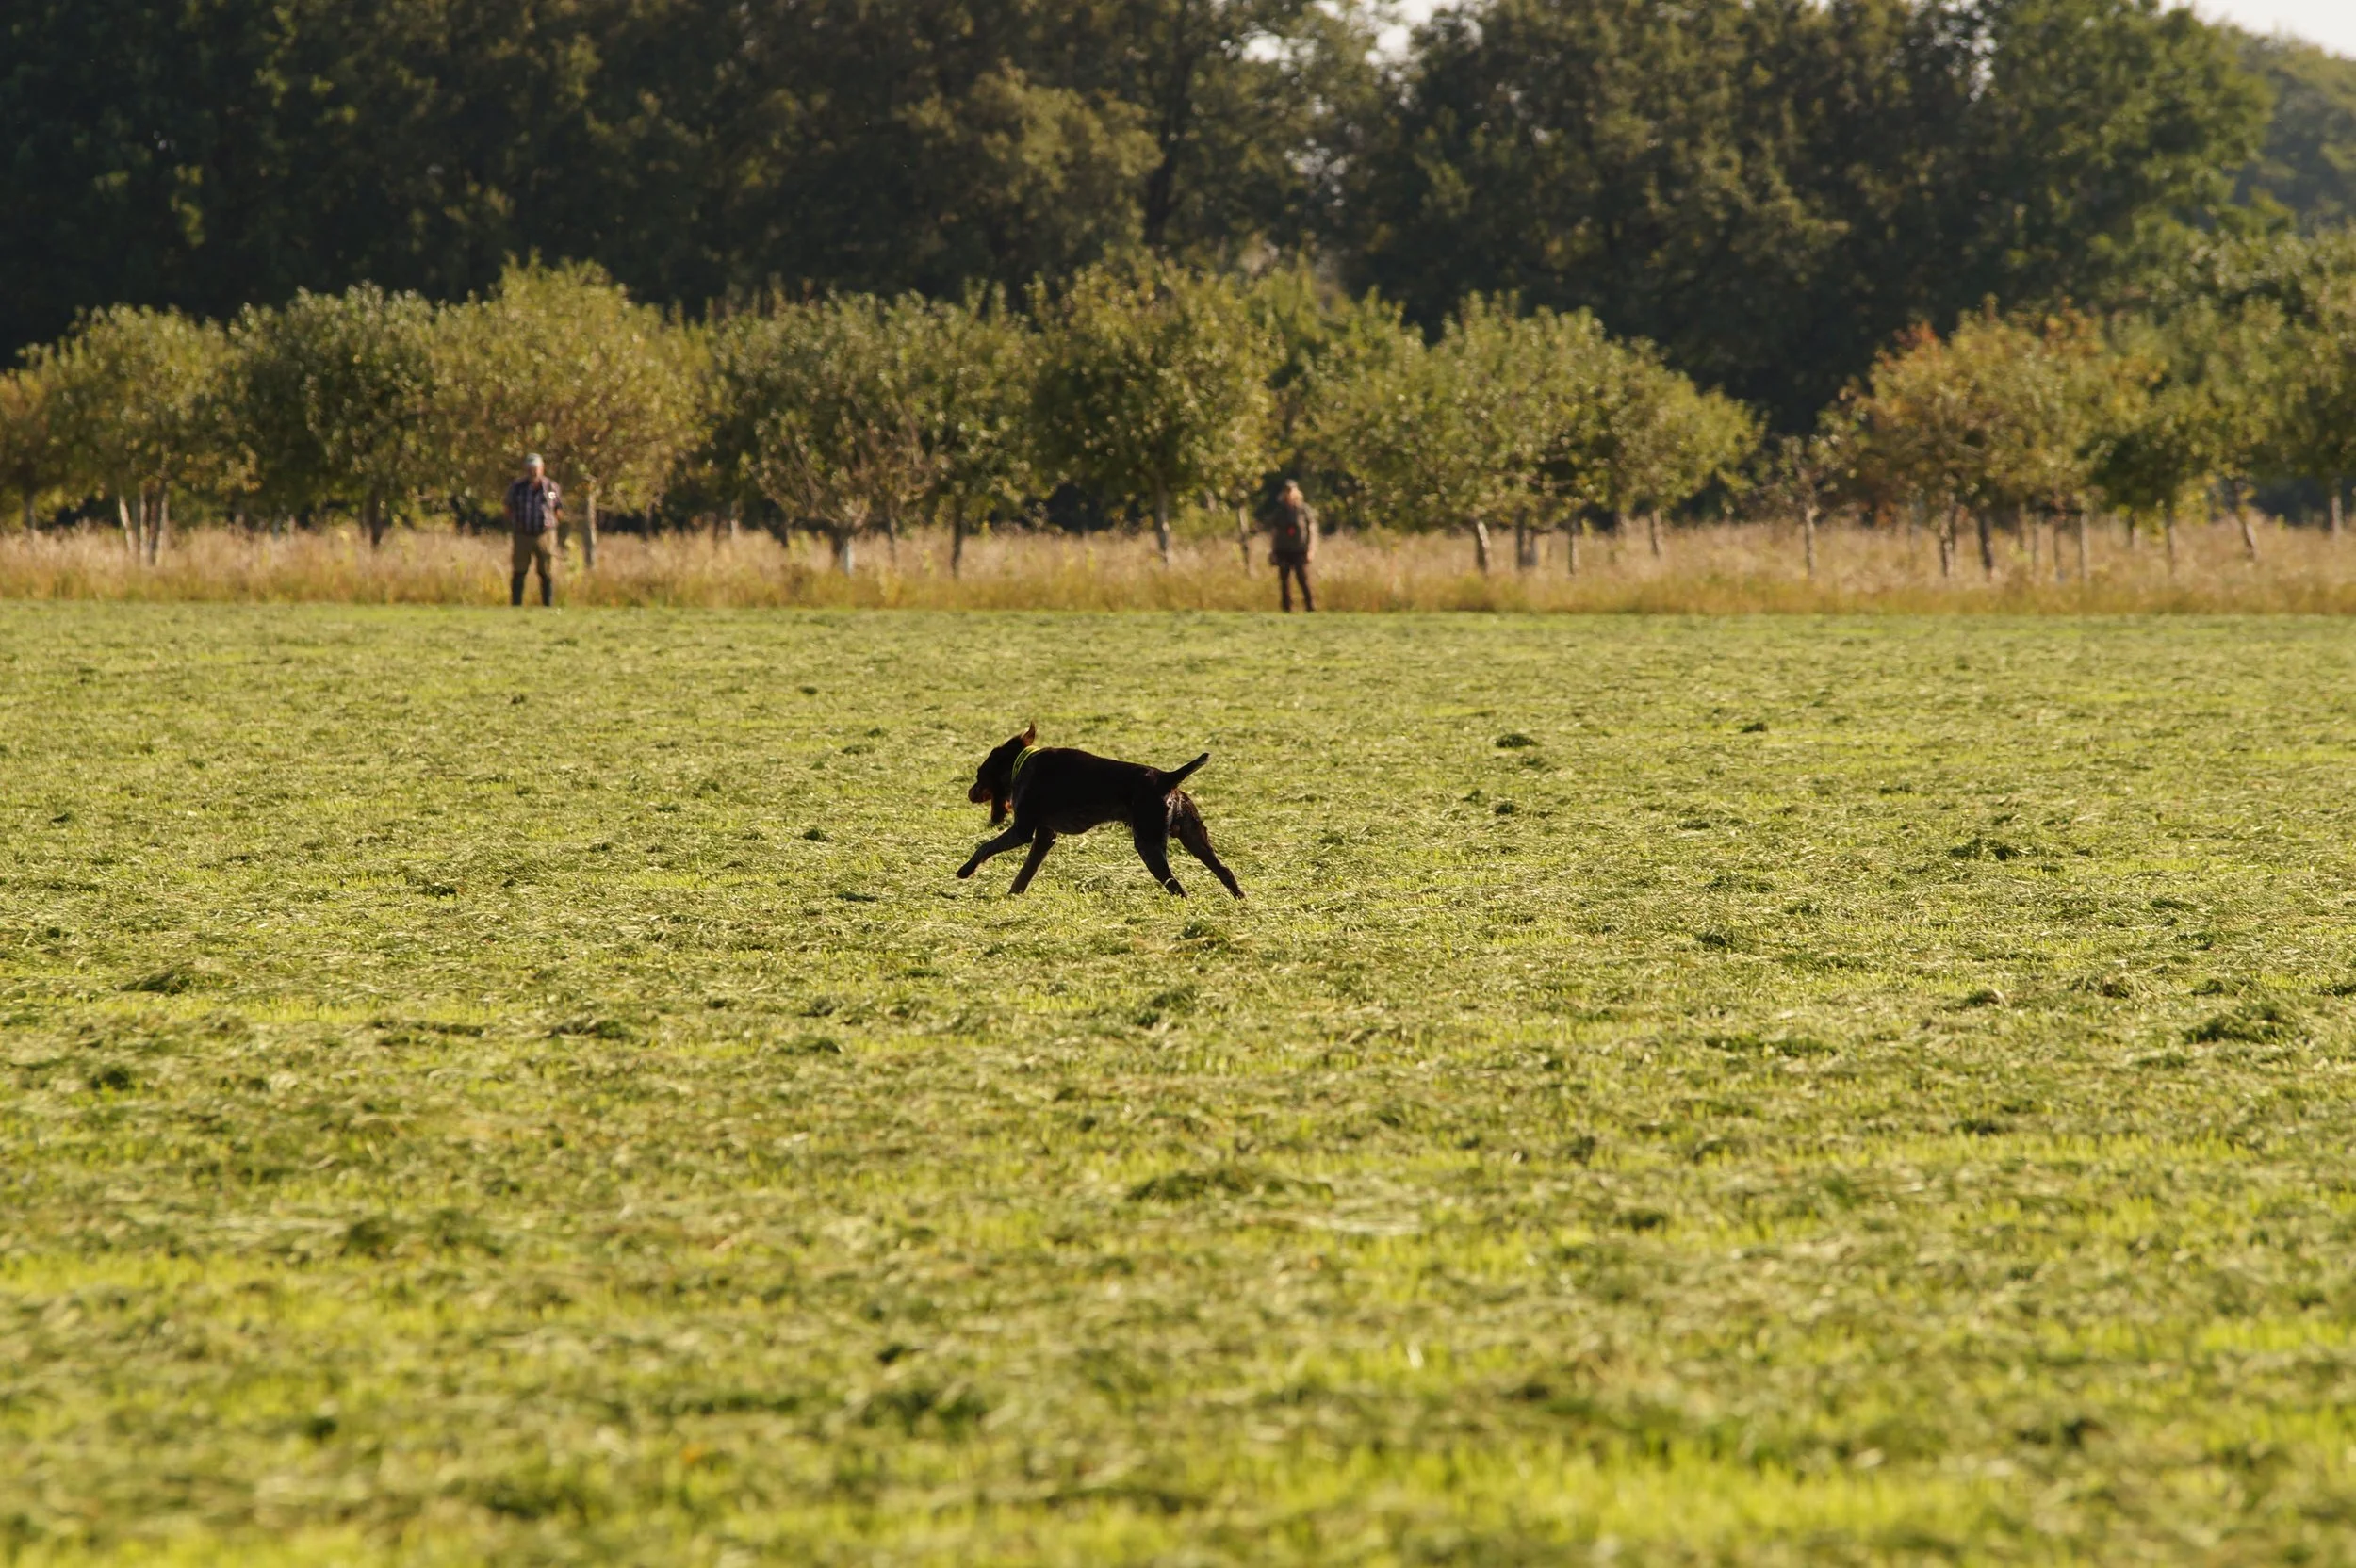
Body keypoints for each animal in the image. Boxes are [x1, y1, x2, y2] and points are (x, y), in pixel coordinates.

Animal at [957, 724, 1244, 898]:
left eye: (979, 774)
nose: (969, 792)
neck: (1021, 764)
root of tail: (1167, 778)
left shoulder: (1022, 831)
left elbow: (985, 847)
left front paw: (965, 870)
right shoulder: (1044, 837)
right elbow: (1025, 872)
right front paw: (1013, 896)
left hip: (1148, 844)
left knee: (1176, 886)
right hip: (1194, 838)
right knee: (1224, 871)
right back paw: (1240, 902)